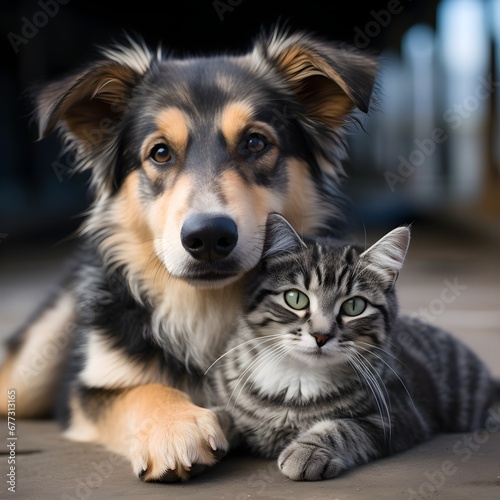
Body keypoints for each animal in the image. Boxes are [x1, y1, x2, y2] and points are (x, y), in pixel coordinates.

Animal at [0, 26, 376, 480]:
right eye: (160, 152)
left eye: (255, 142)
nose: (208, 236)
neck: (206, 304)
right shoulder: (87, 388)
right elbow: (138, 389)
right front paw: (174, 426)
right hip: (32, 369)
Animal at [206, 214, 496, 480]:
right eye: (295, 298)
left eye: (354, 306)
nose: (320, 335)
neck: (297, 380)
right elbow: (222, 414)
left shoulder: (398, 417)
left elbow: (344, 428)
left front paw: (308, 450)